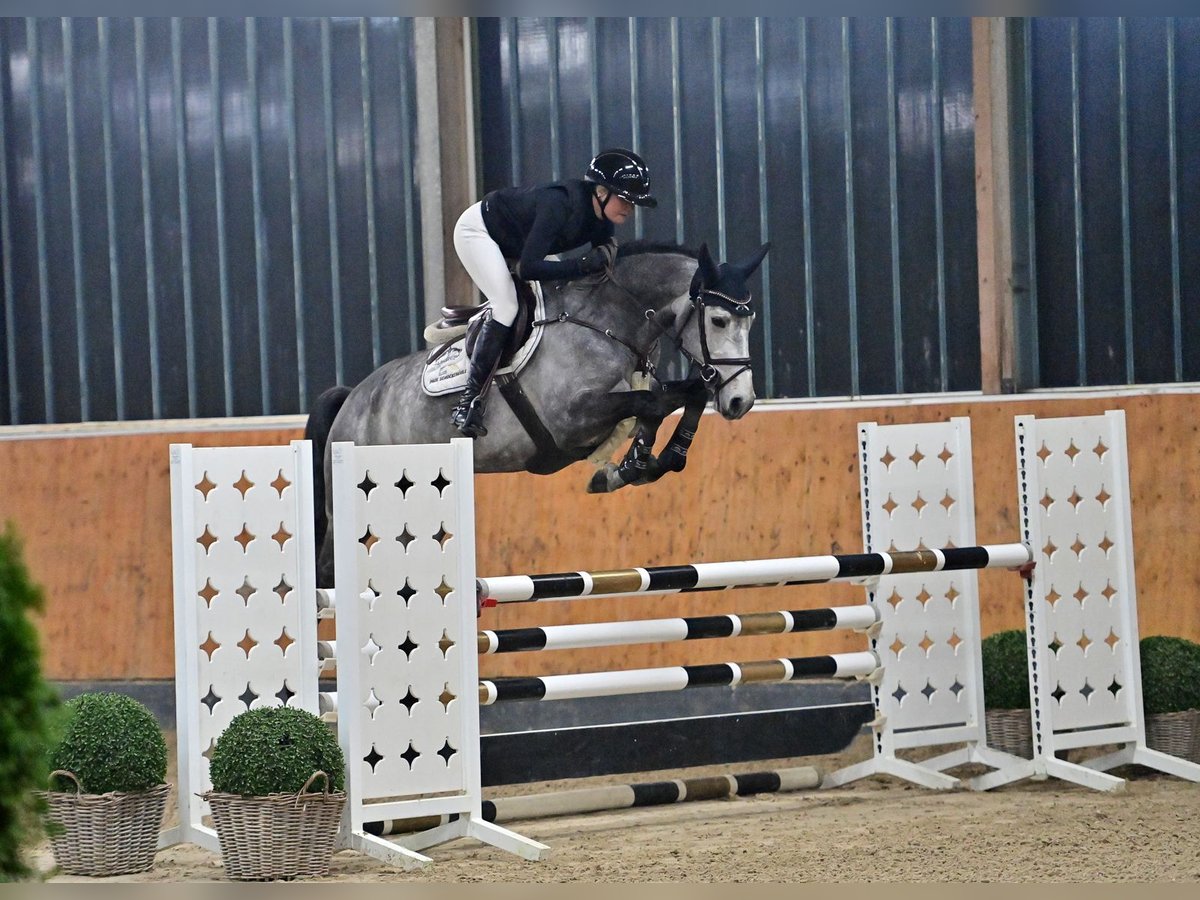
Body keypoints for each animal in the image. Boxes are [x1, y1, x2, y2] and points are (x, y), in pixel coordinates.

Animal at [302, 237, 768, 585]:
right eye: (720, 321)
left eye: (750, 321)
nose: (741, 402)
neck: (608, 322)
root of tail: (352, 398)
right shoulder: (573, 418)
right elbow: (653, 403)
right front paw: (632, 466)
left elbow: (686, 395)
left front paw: (646, 462)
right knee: (326, 570)